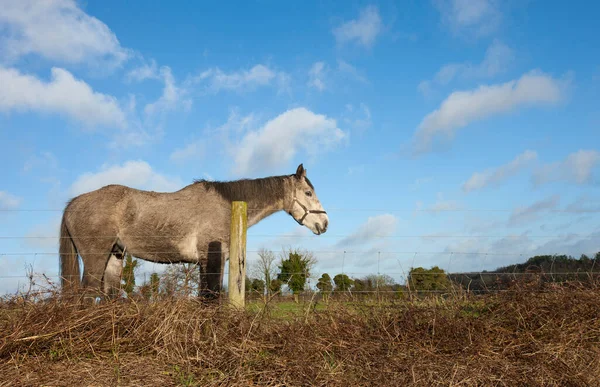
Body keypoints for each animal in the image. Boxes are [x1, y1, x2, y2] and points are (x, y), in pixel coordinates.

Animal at [59, 163, 330, 300]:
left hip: (115, 257)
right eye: (308, 193)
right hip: (96, 259)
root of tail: (73, 202)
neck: (226, 205)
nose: (324, 223)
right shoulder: (213, 259)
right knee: (86, 295)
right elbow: (210, 296)